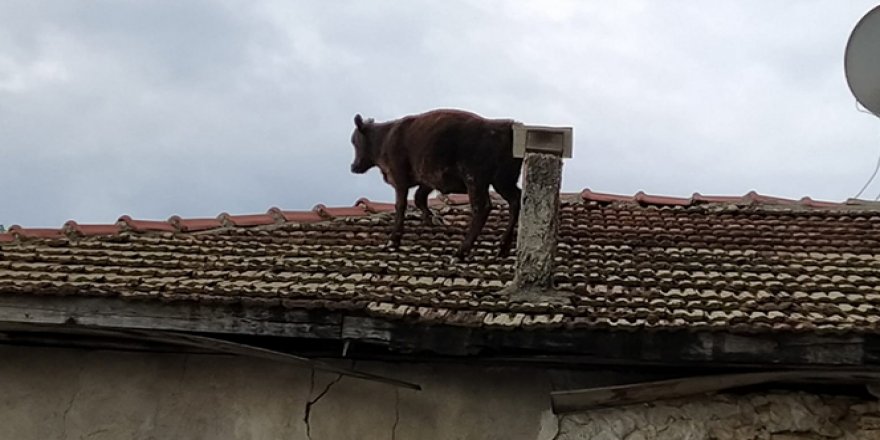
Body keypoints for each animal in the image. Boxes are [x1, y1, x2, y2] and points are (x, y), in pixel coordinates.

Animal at [348, 108, 524, 260]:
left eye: (355, 141)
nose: (353, 167)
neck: (385, 137)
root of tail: (505, 126)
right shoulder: (427, 180)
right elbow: (419, 198)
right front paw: (432, 219)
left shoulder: (400, 179)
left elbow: (401, 205)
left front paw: (393, 242)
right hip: (503, 181)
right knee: (516, 200)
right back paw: (503, 247)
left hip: (475, 180)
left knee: (482, 207)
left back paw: (461, 251)